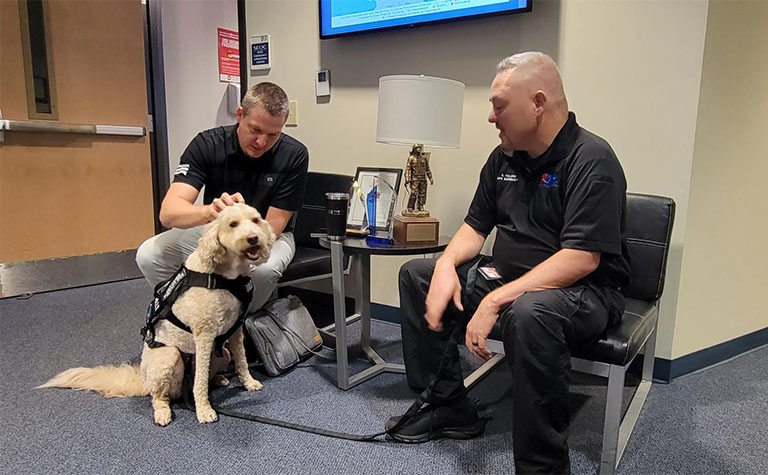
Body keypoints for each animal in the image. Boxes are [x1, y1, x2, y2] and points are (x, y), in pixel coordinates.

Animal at [38, 203, 276, 426]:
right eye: (233, 224)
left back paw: (218, 379)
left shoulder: (235, 330)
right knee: (161, 396)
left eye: (255, 220)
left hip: (221, 352)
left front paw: (248, 382)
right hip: (168, 356)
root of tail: (143, 379)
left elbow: (241, 360)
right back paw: (163, 412)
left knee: (204, 375)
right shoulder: (204, 335)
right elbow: (199, 382)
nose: (253, 238)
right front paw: (204, 409)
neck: (226, 276)